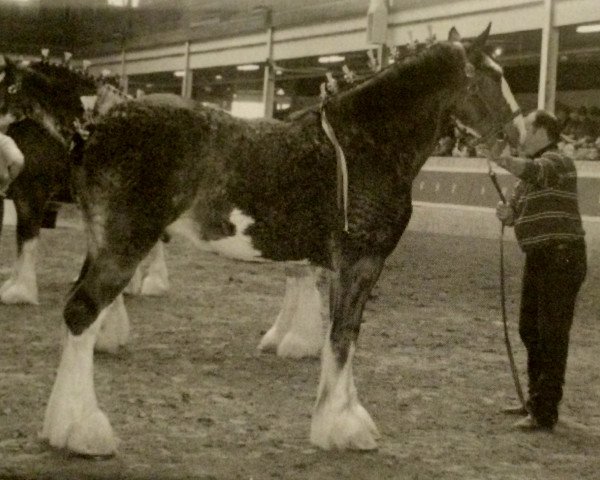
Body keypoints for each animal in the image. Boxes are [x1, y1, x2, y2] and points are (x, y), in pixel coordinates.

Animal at [0, 25, 524, 454]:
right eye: (493, 77)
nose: (519, 134)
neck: (365, 145)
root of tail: (94, 128)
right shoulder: (361, 261)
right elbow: (343, 336)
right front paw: (340, 427)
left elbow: (342, 335)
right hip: (123, 243)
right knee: (81, 312)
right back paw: (82, 431)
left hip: (105, 242)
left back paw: (62, 425)